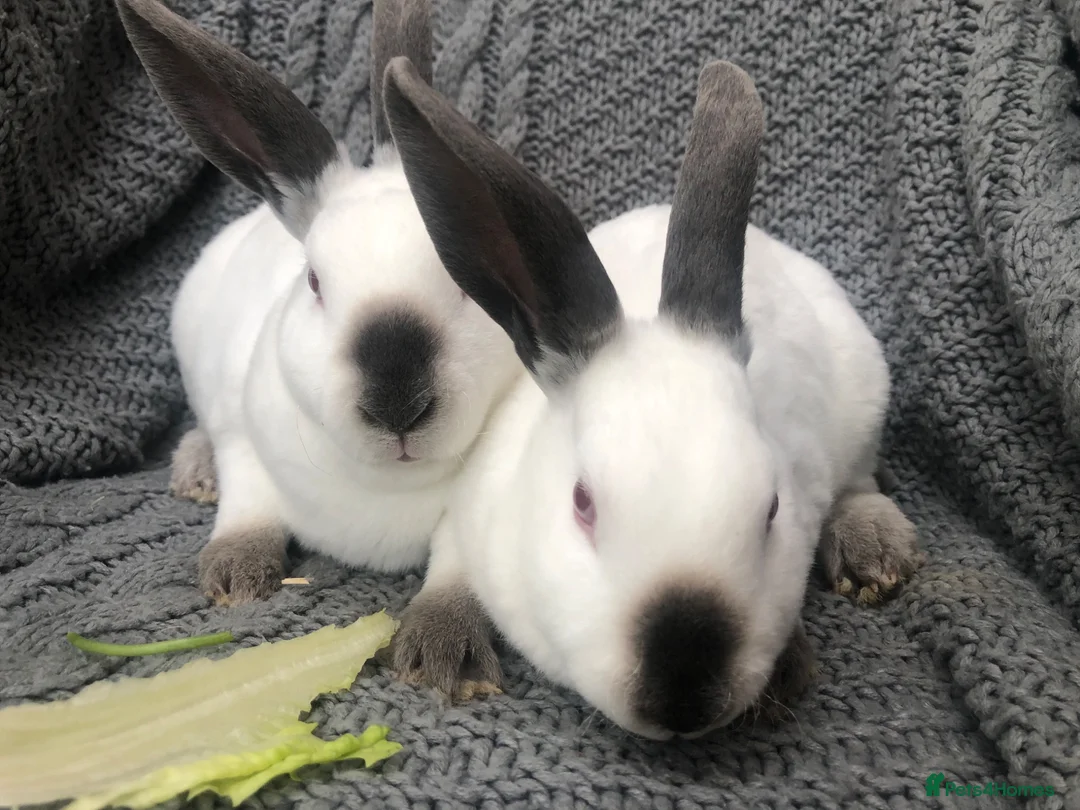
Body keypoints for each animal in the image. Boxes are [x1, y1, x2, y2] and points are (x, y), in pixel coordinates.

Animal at [115, 0, 520, 604]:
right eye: (314, 282)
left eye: (466, 281)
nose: (398, 406)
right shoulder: (244, 444)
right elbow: (248, 508)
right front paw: (233, 576)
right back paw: (196, 476)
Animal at [379, 56, 923, 739]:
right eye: (582, 503)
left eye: (772, 508)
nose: (683, 695)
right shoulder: (469, 509)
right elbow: (449, 570)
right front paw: (442, 656)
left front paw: (784, 671)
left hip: (863, 400)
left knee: (861, 481)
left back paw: (873, 550)